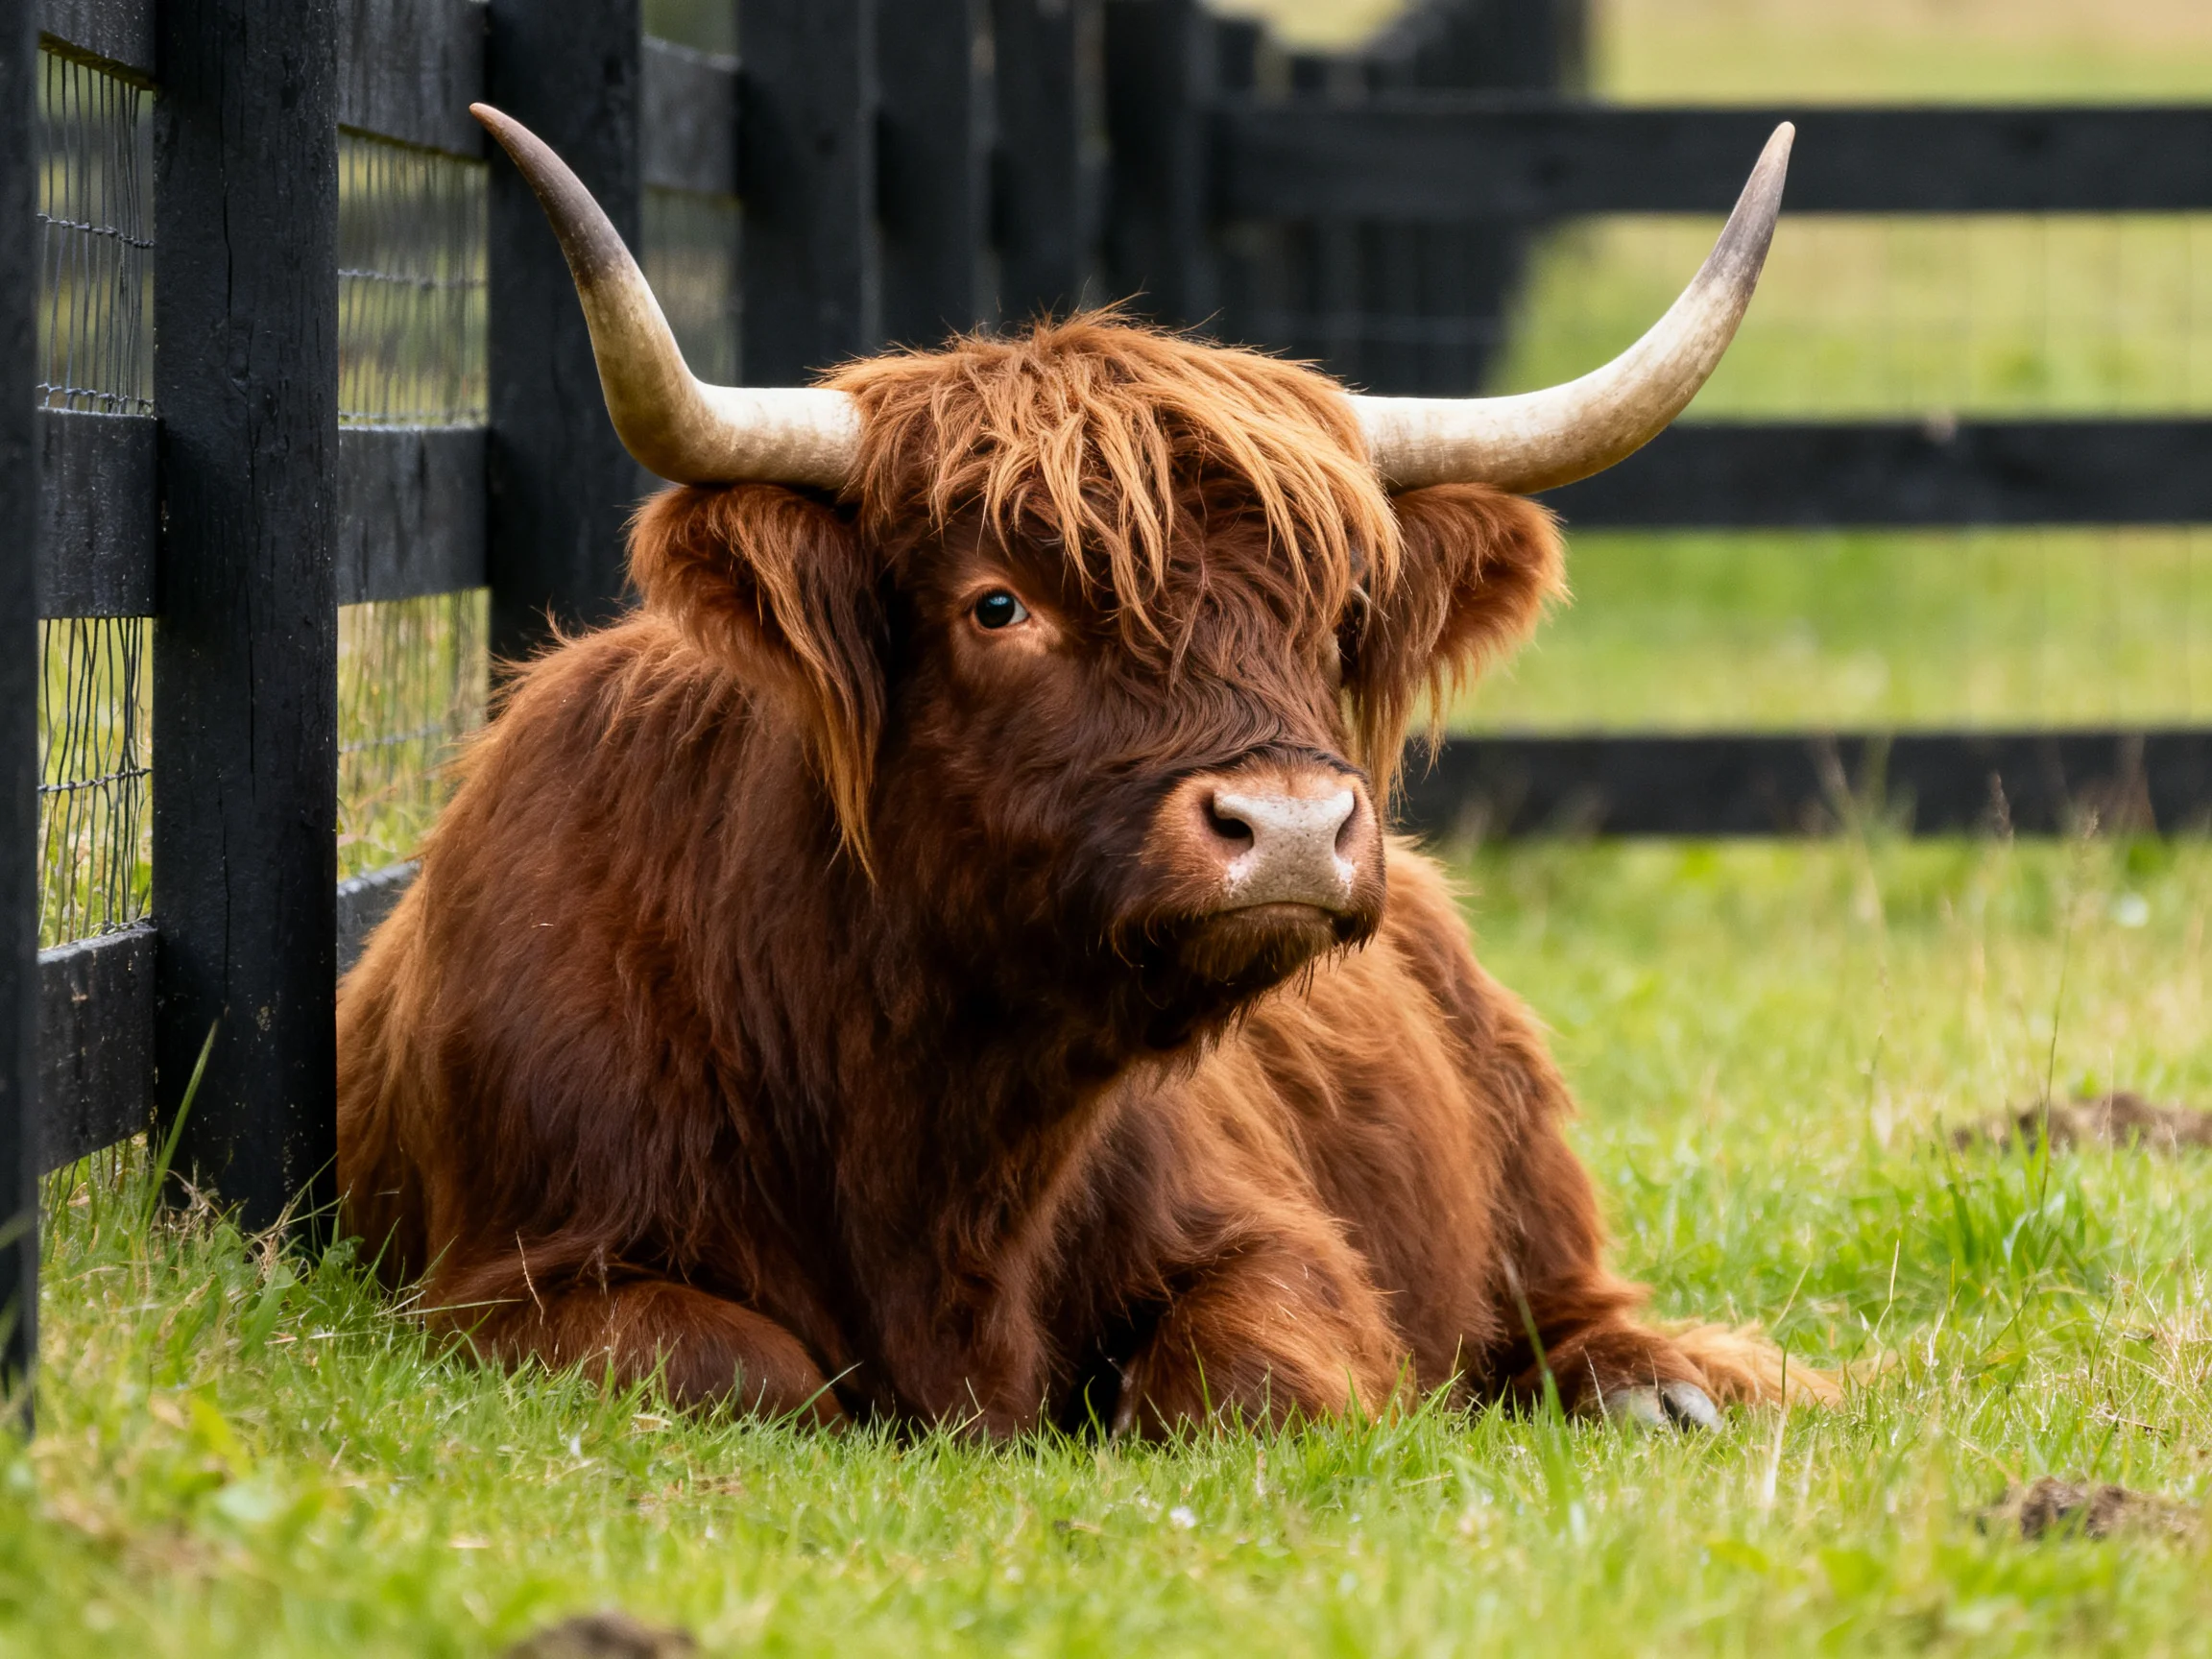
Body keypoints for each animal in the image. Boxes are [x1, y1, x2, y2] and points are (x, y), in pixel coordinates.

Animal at [337, 104, 1834, 1435]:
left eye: (1336, 609)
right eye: (998, 604)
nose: (1294, 827)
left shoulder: (1279, 1241)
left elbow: (1243, 1382)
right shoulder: (511, 1282)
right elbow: (749, 1373)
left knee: (1573, 1307)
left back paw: (1663, 1391)